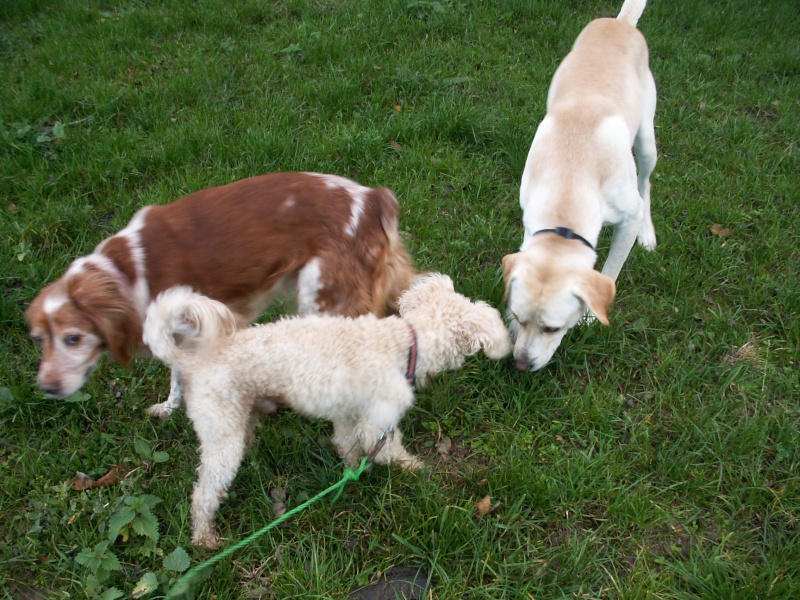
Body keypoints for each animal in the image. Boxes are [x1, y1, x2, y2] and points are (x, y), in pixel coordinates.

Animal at [25, 170, 412, 412]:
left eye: (73, 338)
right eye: (38, 340)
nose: (46, 388)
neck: (126, 272)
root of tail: (373, 199)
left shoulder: (218, 323)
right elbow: (177, 373)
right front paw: (169, 407)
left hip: (321, 297)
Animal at [143, 274, 510, 548]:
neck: (406, 343)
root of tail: (192, 361)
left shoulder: (348, 415)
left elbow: (345, 446)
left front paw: (351, 472)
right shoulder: (377, 423)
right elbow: (391, 452)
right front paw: (418, 469)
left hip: (239, 416)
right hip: (221, 440)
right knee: (203, 494)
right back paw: (205, 537)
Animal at [504, 0, 660, 372]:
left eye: (553, 328)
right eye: (519, 317)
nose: (520, 365)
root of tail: (620, 24)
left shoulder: (627, 219)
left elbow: (612, 269)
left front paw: (591, 317)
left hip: (647, 139)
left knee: (645, 182)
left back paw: (648, 233)